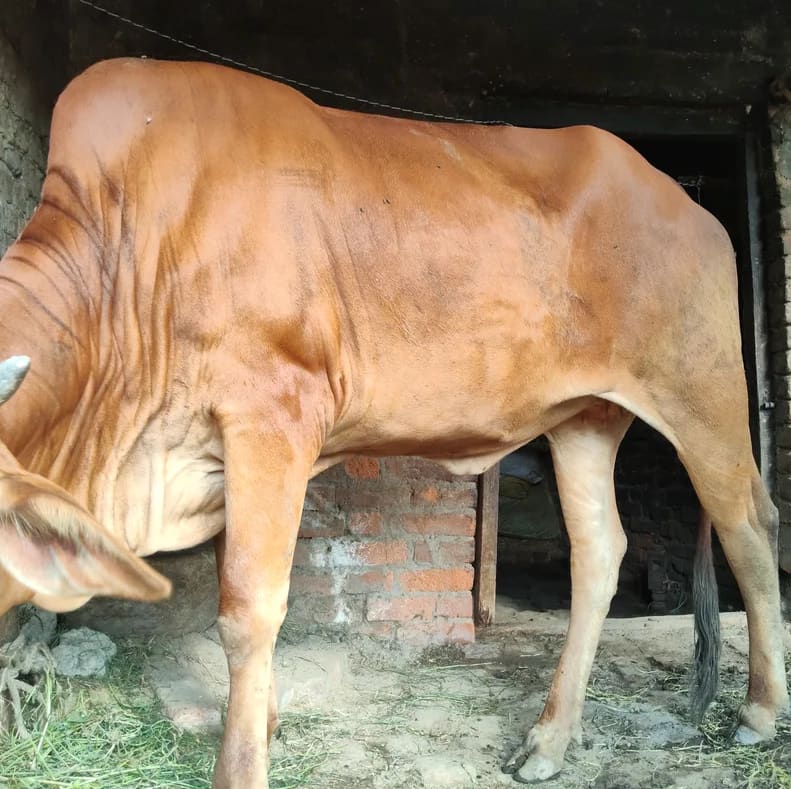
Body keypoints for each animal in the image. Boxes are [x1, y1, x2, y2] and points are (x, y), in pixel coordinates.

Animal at [0, 58, 787, 787]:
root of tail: (685, 203)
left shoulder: (273, 413)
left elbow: (248, 608)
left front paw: (243, 761)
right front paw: (264, 723)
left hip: (703, 393)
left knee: (749, 526)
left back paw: (758, 709)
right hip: (585, 418)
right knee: (598, 551)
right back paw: (549, 739)